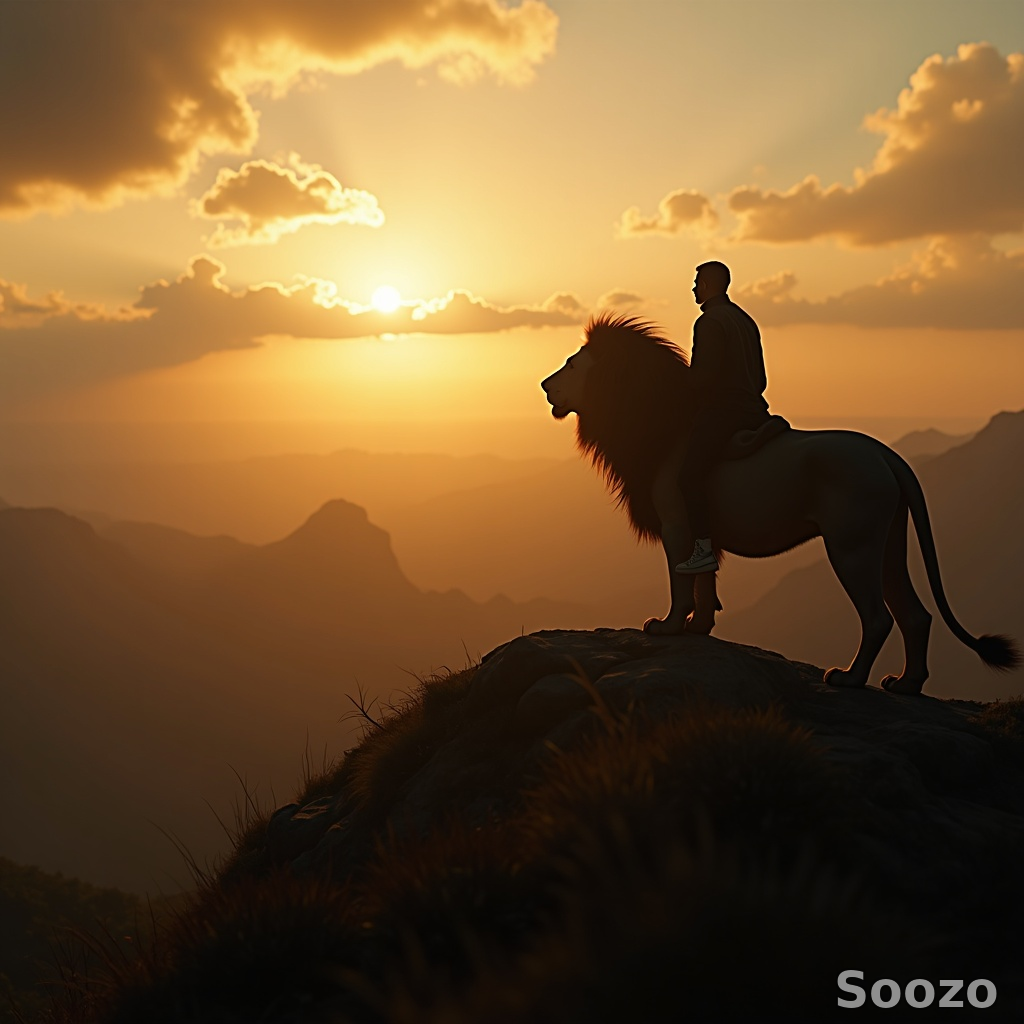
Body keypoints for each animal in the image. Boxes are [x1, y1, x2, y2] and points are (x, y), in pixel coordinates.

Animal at [540, 313, 1018, 693]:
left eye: (571, 364)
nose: (543, 384)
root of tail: (887, 455)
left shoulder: (677, 522)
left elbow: (682, 581)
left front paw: (669, 628)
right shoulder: (701, 532)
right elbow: (704, 581)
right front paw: (699, 629)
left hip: (852, 544)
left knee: (879, 617)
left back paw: (848, 678)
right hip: (889, 543)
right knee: (916, 615)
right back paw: (906, 685)